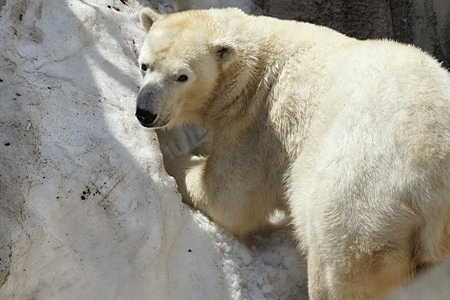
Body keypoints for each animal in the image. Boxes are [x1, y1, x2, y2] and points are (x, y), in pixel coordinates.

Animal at [136, 7, 450, 300]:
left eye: (182, 76)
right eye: (144, 65)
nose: (145, 112)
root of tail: (433, 198)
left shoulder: (261, 124)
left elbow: (230, 198)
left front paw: (174, 163)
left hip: (361, 208)